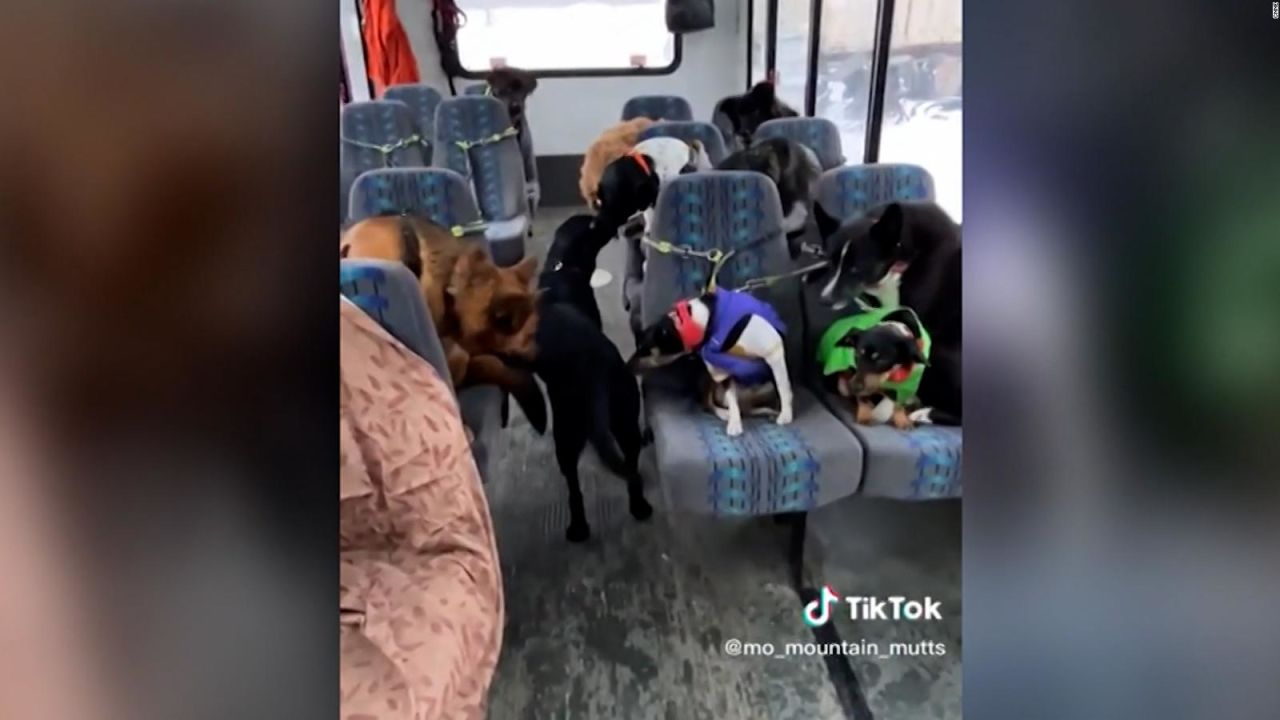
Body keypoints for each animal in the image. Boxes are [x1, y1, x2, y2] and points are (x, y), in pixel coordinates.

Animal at [529, 212, 655, 538]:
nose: (614, 222)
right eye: (594, 225)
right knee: (631, 467)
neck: (561, 266)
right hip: (626, 420)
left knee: (574, 488)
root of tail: (595, 365)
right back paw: (639, 507)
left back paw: (578, 527)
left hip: (565, 433)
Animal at [627, 286, 793, 435]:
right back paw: (727, 413)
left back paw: (767, 411)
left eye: (644, 350)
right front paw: (734, 422)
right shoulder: (720, 370)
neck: (703, 322)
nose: (627, 367)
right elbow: (731, 397)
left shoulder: (773, 350)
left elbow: (782, 387)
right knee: (711, 403)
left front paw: (786, 414)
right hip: (708, 377)